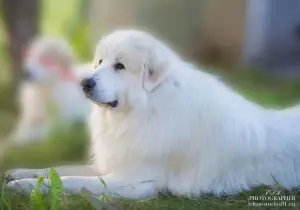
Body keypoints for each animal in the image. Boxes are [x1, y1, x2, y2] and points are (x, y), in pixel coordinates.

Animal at [5, 29, 300, 199]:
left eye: (120, 66)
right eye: (99, 62)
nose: (84, 82)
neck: (145, 111)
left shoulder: (134, 181)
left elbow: (70, 180)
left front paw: (25, 187)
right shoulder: (115, 161)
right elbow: (58, 168)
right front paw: (20, 173)